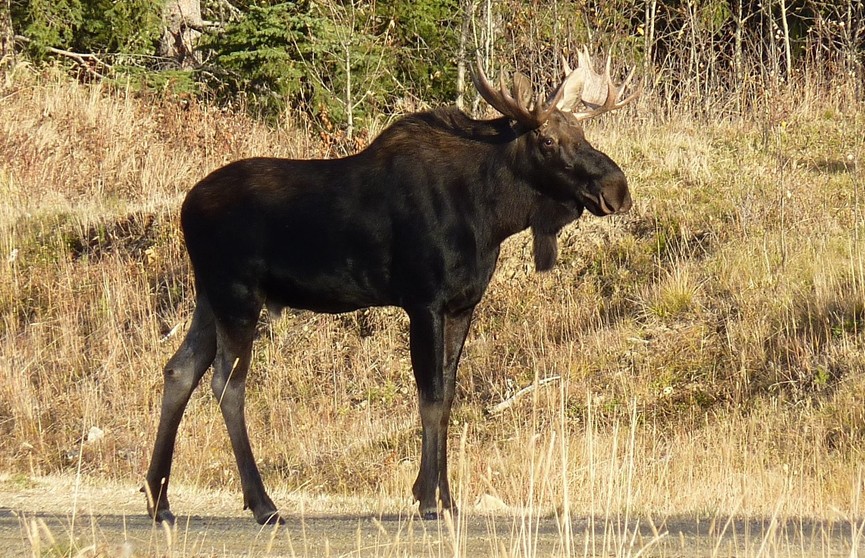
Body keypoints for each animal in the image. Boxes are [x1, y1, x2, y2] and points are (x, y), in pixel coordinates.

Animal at [145, 47, 636, 524]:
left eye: (582, 132)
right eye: (548, 141)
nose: (618, 188)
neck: (491, 215)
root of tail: (186, 207)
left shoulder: (462, 304)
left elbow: (448, 395)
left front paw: (446, 498)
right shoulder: (423, 300)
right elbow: (431, 397)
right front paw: (428, 499)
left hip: (208, 296)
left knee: (179, 370)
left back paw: (159, 498)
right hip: (237, 295)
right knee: (227, 384)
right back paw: (262, 504)